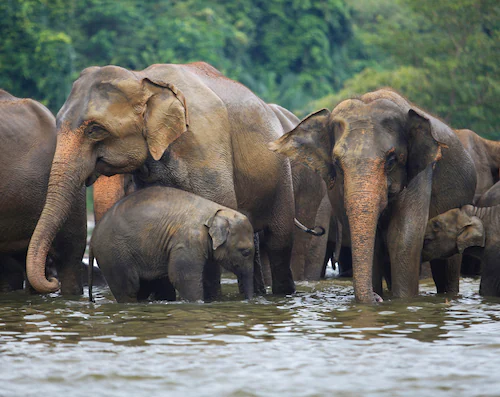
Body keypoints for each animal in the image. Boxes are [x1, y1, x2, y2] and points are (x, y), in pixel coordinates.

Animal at [86, 185, 256, 300]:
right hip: (113, 254)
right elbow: (182, 277)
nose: (249, 301)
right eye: (245, 252)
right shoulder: (187, 242)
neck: (216, 212)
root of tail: (93, 239)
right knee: (129, 289)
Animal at [270, 88, 476, 302]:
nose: (376, 298)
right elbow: (375, 244)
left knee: (447, 266)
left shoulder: (420, 172)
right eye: (337, 163)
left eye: (391, 160)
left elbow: (404, 239)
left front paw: (403, 301)